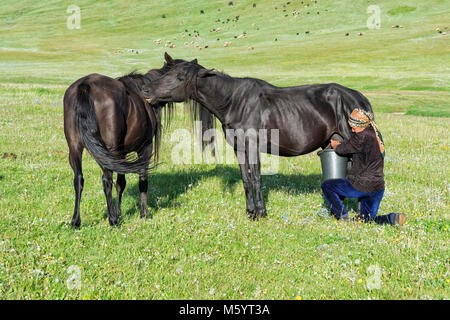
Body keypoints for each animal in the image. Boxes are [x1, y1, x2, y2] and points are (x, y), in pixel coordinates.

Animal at [62, 54, 184, 228]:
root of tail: (85, 85)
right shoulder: (145, 148)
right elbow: (142, 180)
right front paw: (143, 213)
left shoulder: (122, 154)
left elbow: (121, 183)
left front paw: (119, 212)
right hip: (110, 151)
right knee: (106, 180)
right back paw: (112, 219)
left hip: (76, 148)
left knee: (78, 179)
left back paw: (76, 221)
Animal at [142, 57, 374, 219]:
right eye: (165, 72)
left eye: (179, 77)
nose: (145, 90)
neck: (234, 102)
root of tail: (356, 97)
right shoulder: (239, 149)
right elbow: (246, 180)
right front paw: (250, 212)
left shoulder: (253, 147)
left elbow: (255, 178)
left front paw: (261, 212)